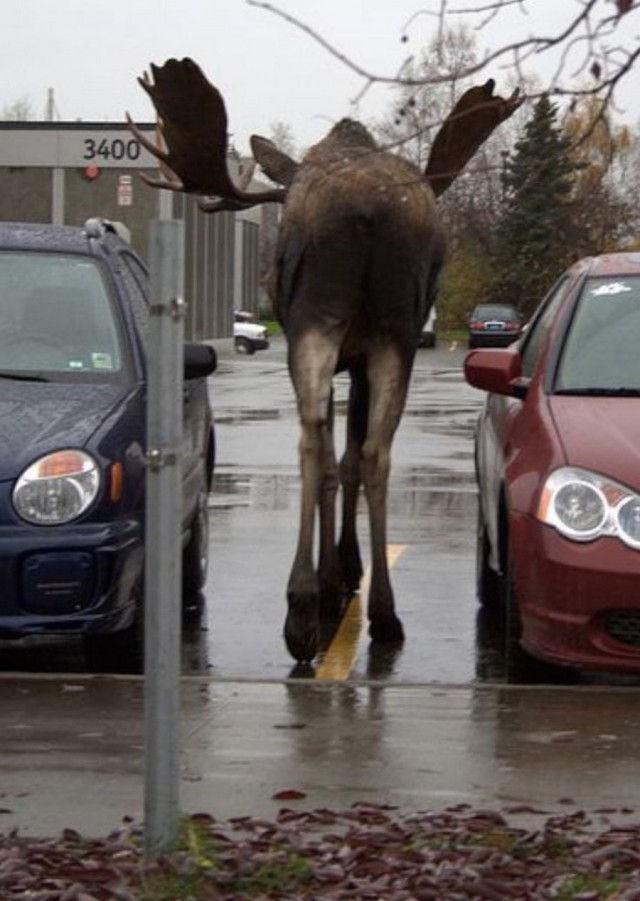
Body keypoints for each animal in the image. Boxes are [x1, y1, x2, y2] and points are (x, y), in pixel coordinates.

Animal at [129, 58, 520, 660]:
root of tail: (368, 210)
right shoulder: (359, 356)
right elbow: (353, 457)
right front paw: (346, 572)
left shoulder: (338, 348)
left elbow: (335, 457)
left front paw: (333, 579)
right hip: (395, 330)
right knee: (376, 452)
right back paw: (384, 615)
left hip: (314, 321)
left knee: (312, 440)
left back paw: (302, 610)